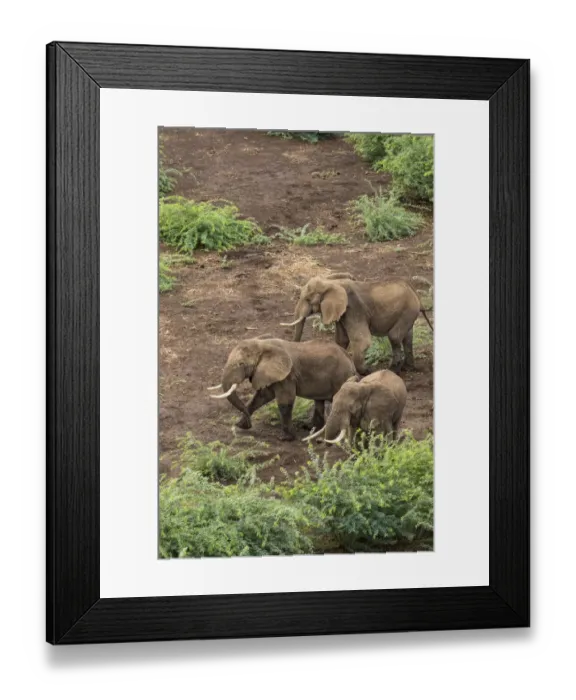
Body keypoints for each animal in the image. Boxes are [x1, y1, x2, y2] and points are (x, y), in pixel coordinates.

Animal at [208, 337, 356, 441]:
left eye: (241, 364)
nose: (249, 423)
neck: (262, 344)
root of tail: (350, 358)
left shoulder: (287, 375)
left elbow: (285, 400)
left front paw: (285, 439)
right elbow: (261, 397)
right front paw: (241, 425)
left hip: (341, 377)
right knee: (318, 401)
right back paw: (310, 428)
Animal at [281, 274, 433, 375]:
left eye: (308, 299)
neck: (331, 282)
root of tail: (414, 292)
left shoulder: (354, 309)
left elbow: (362, 340)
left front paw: (367, 372)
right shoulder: (342, 314)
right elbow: (341, 340)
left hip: (408, 310)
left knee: (394, 336)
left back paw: (392, 370)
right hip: (409, 312)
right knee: (407, 337)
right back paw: (408, 368)